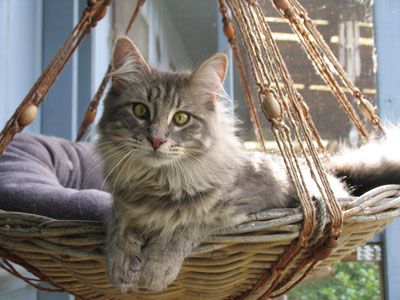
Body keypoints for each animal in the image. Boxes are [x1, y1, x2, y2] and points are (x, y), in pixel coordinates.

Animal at [97, 36, 400, 292]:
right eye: (140, 111)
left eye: (181, 118)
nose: (156, 140)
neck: (157, 183)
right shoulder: (120, 204)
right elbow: (119, 226)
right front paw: (120, 264)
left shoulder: (246, 206)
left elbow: (187, 224)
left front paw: (156, 268)